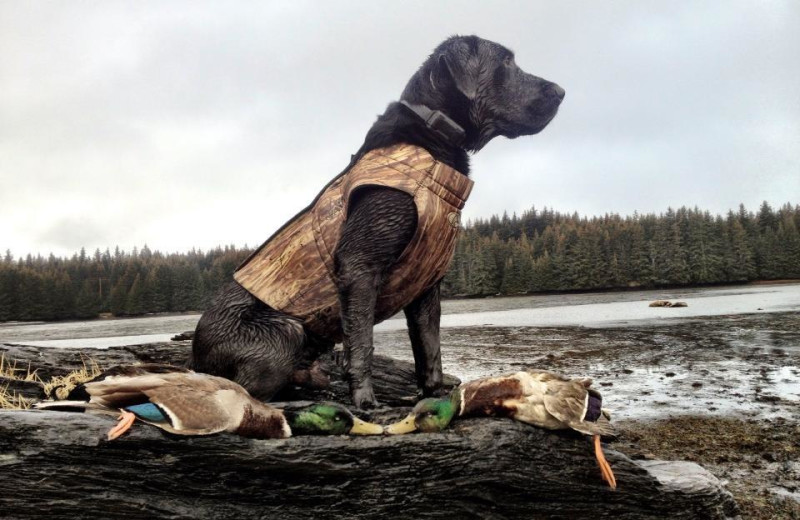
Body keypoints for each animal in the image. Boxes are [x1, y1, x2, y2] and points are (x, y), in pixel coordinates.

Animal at [189, 36, 564, 410]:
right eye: (506, 62)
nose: (561, 91)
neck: (433, 137)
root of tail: (195, 360)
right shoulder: (359, 265)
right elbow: (362, 343)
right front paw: (365, 400)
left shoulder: (427, 283)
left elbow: (429, 347)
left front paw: (434, 393)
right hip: (284, 332)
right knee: (244, 391)